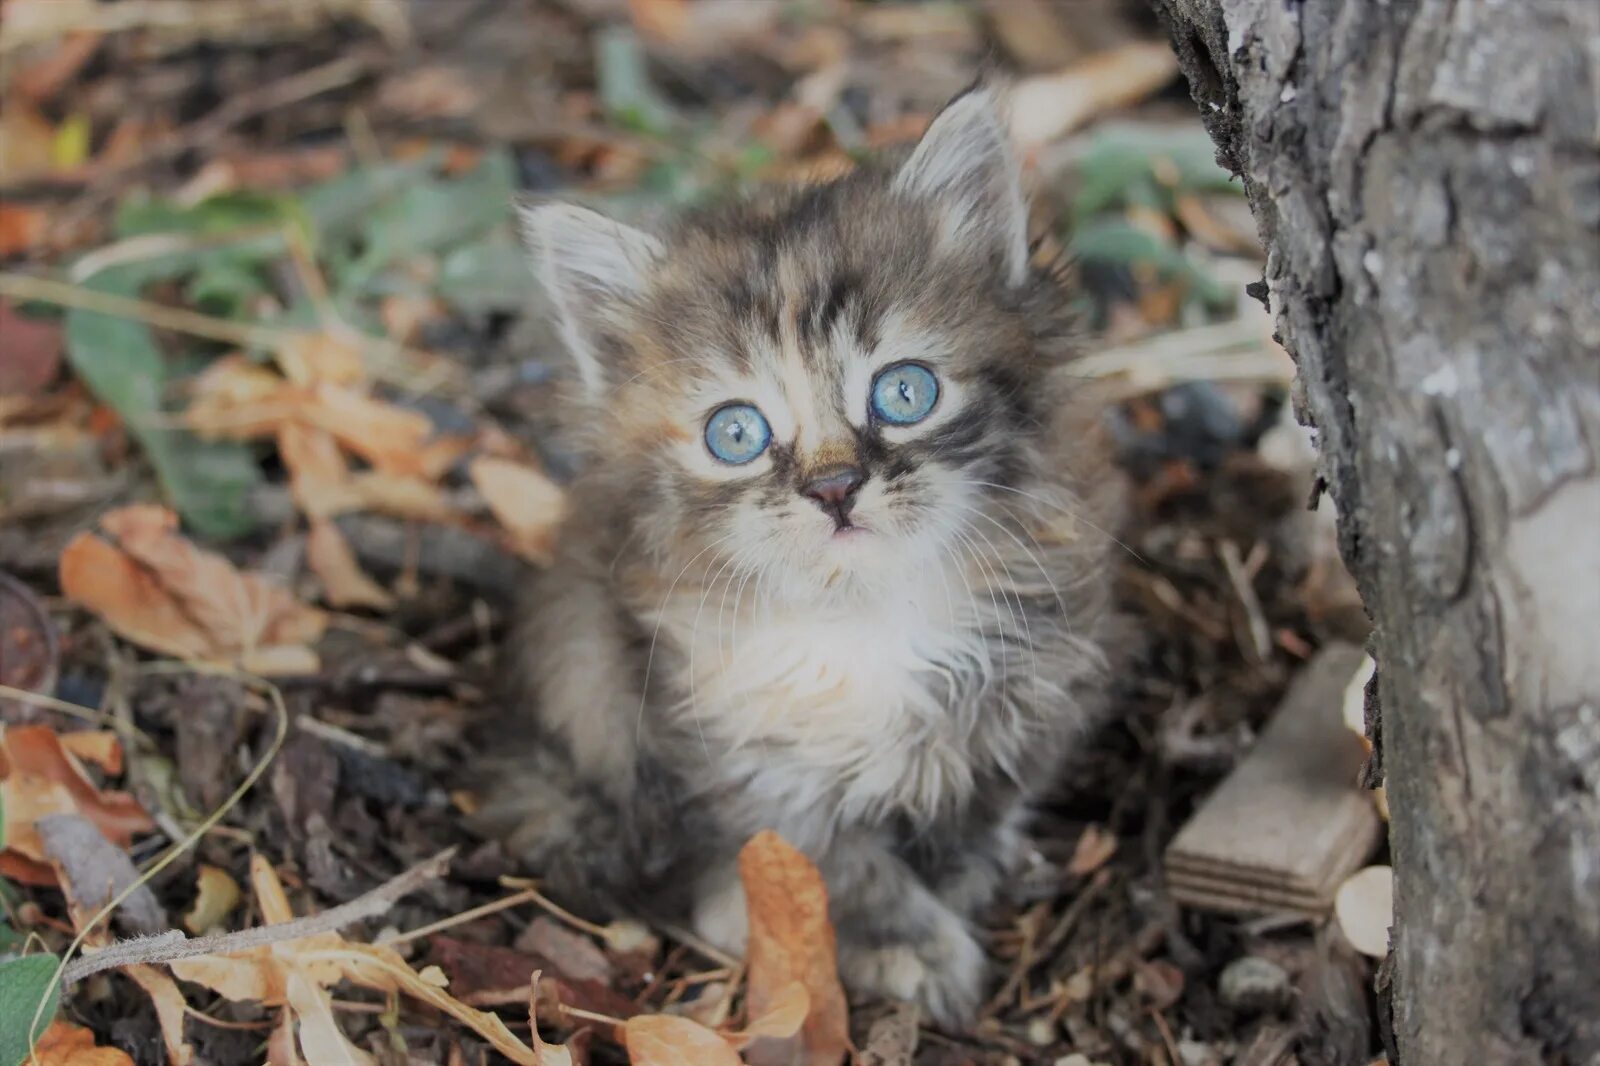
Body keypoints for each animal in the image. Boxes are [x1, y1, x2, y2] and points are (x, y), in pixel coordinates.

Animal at [470, 89, 1126, 1024]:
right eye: (736, 434)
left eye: (905, 391)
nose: (834, 487)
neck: (865, 620)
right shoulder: (729, 757)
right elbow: (833, 866)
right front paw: (909, 945)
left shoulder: (1042, 672)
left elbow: (987, 792)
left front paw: (964, 870)